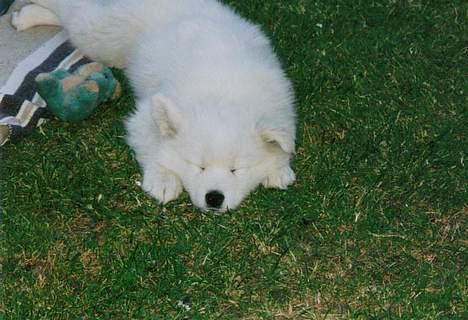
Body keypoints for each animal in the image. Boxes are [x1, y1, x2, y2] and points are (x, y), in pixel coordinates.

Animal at [14, 0, 296, 211]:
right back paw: (27, 15)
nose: (214, 198)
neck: (224, 95)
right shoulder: (143, 116)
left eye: (236, 169)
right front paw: (163, 180)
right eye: (199, 166)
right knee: (74, 12)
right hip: (105, 35)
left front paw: (279, 169)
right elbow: (152, 147)